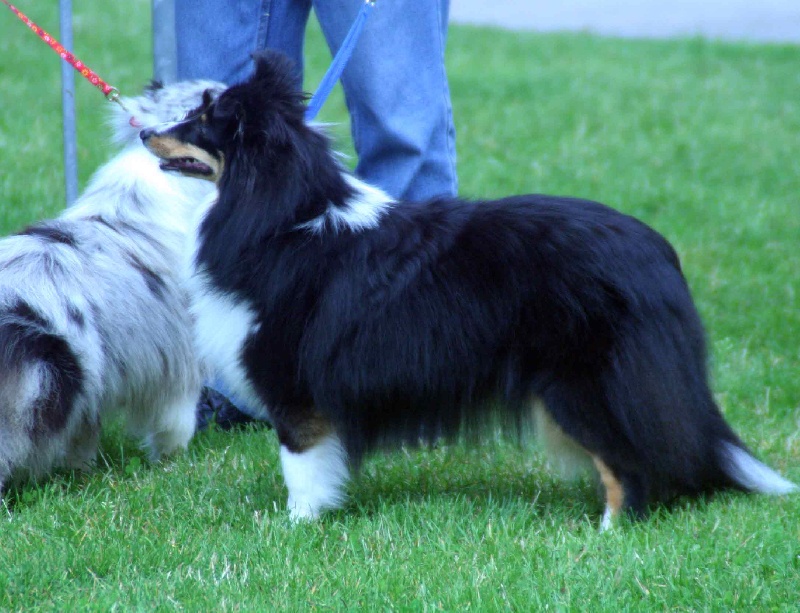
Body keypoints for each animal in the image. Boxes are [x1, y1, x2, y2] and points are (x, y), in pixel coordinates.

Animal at [0, 79, 225, 494]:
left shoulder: (96, 384)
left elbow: (83, 436)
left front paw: (81, 471)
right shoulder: (179, 360)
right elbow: (175, 424)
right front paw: (173, 463)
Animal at [142, 51, 792, 524]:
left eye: (201, 121)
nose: (145, 132)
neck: (282, 214)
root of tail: (658, 254)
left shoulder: (293, 385)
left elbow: (301, 463)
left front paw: (295, 525)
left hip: (583, 384)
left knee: (629, 466)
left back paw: (607, 532)